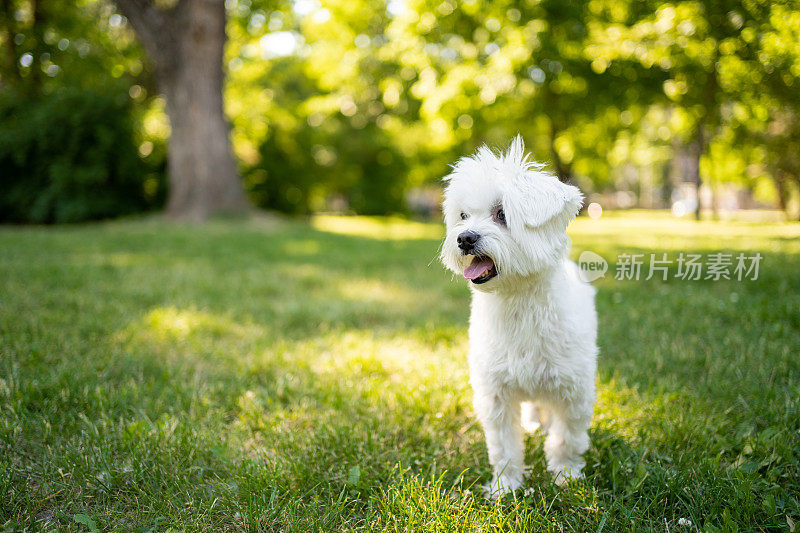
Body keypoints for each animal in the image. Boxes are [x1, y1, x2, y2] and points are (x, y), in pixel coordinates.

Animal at [440, 135, 596, 492]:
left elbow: (567, 438)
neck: (518, 302)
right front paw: (506, 485)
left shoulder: (573, 389)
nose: (464, 238)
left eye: (502, 213)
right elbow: (504, 445)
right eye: (463, 215)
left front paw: (565, 474)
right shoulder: (496, 392)